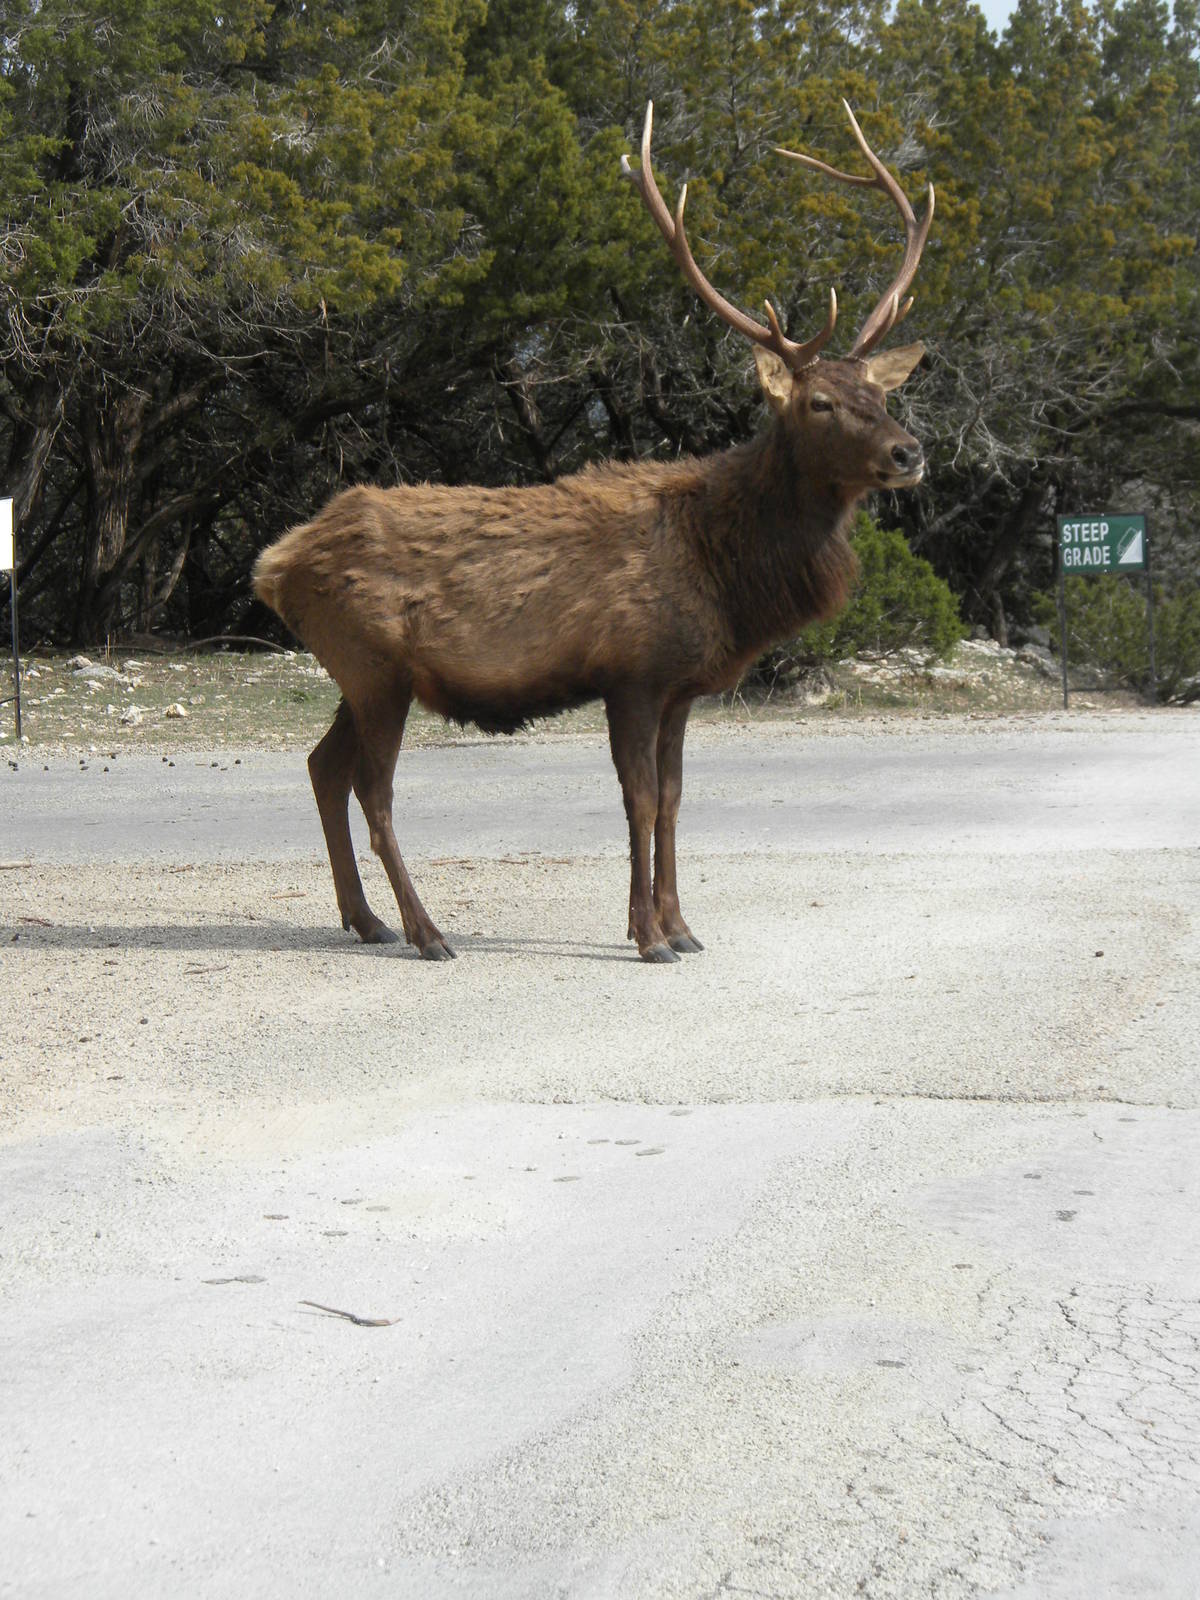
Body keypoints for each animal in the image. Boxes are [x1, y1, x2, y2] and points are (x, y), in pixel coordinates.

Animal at [252, 99, 934, 964]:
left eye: (880, 394)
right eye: (819, 402)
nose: (909, 452)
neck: (726, 574)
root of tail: (274, 564)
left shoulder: (681, 687)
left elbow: (673, 799)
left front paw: (684, 926)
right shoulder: (631, 671)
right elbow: (638, 800)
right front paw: (647, 936)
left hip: (362, 673)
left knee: (321, 765)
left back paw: (366, 919)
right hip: (373, 666)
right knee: (374, 791)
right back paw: (427, 931)